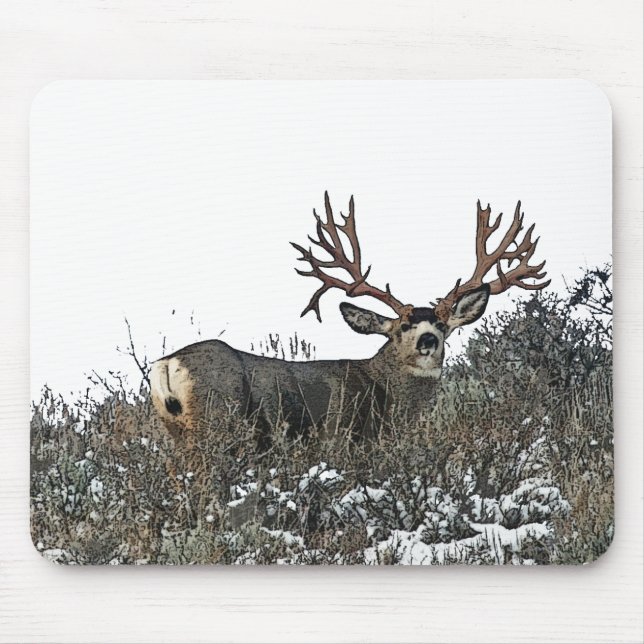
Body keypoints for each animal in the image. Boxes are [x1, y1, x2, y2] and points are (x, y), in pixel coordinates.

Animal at [150, 192, 549, 443]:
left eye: (442, 324)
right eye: (402, 326)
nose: (428, 340)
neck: (385, 395)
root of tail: (169, 364)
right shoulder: (343, 439)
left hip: (179, 434)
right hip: (217, 420)